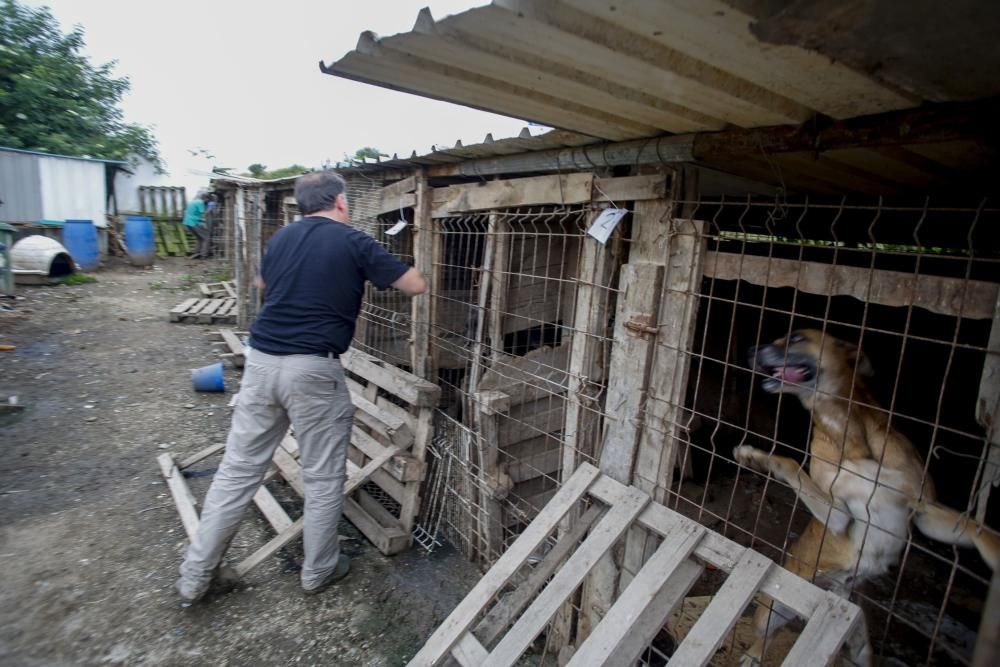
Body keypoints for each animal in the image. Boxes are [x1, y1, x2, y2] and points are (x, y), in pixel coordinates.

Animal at [732, 330, 996, 667]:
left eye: (797, 337)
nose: (751, 350)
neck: (845, 431)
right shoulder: (839, 515)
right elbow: (790, 463)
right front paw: (752, 456)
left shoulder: (925, 510)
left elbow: (980, 530)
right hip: (770, 611)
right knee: (766, 635)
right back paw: (752, 656)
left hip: (858, 644)